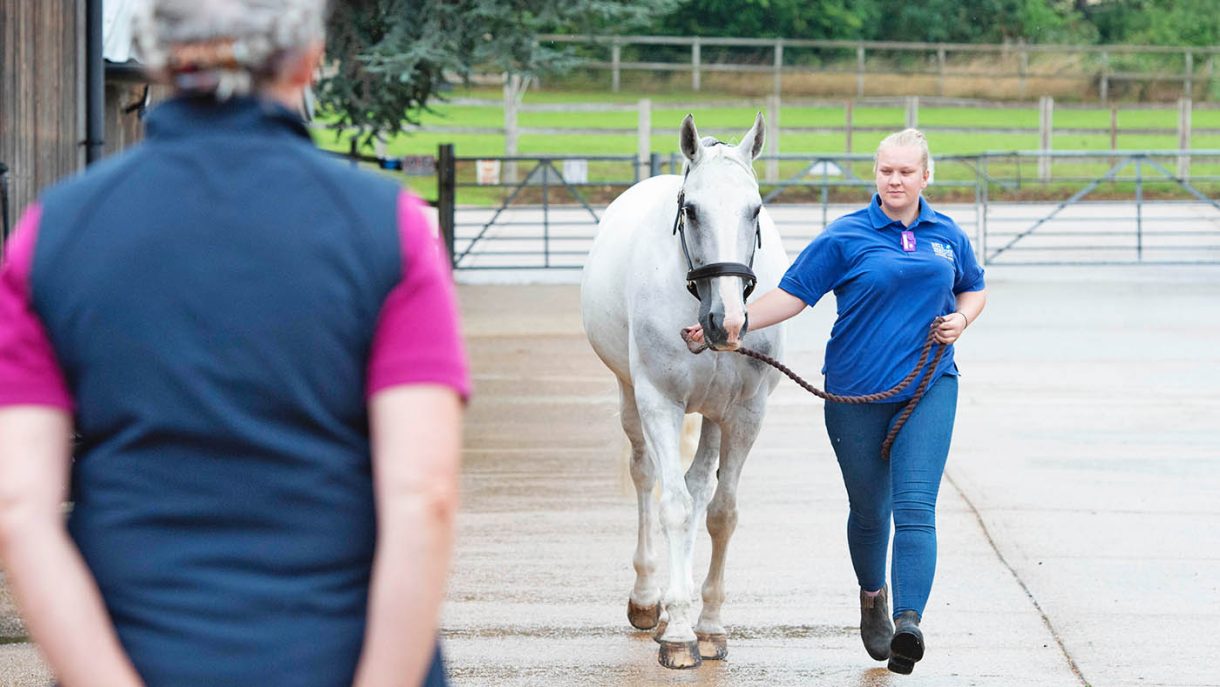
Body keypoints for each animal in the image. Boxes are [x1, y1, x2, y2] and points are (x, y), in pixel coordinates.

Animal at [580, 113, 789, 669]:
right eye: (691, 210)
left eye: (755, 209)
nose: (728, 321)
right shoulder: (660, 401)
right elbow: (672, 506)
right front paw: (677, 632)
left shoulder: (744, 414)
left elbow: (721, 512)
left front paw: (709, 624)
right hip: (632, 399)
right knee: (647, 477)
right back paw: (649, 602)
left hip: (713, 415)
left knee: (698, 490)